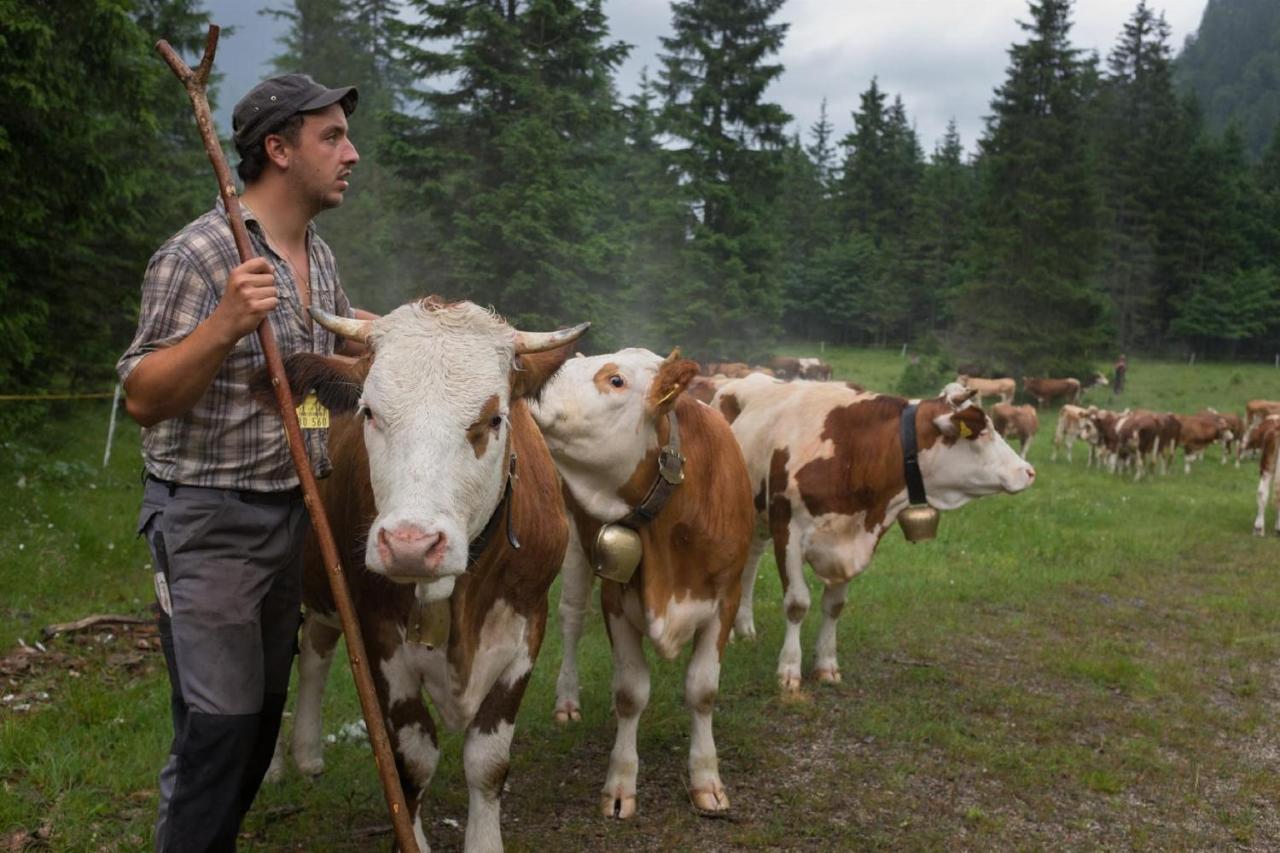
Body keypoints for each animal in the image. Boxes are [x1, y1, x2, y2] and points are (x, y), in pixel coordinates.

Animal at [270, 300, 588, 850]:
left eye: (494, 418)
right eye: (369, 412)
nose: (410, 545)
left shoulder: (528, 628)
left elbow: (488, 760)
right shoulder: (378, 635)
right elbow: (413, 762)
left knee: (315, 647)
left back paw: (308, 754)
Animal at [532, 348, 752, 819]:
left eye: (615, 380)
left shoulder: (726, 599)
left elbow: (702, 689)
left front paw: (706, 780)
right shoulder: (616, 600)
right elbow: (631, 693)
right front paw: (620, 786)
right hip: (574, 542)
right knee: (571, 619)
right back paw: (567, 701)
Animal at [716, 376, 1034, 691]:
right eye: (983, 432)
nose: (1029, 471)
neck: (854, 449)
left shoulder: (849, 544)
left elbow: (834, 606)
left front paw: (826, 666)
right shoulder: (788, 530)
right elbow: (797, 604)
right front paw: (789, 670)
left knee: (751, 562)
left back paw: (744, 627)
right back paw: (729, 634)